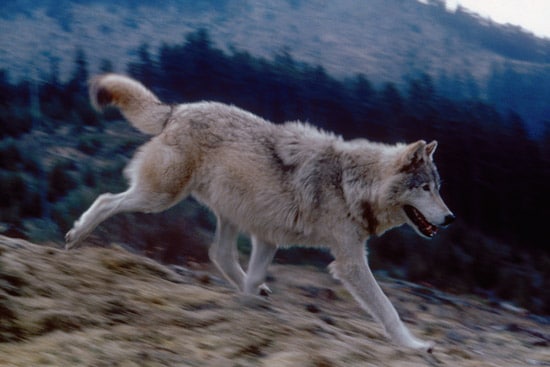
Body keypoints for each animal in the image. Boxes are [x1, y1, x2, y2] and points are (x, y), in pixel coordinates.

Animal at [67, 74, 458, 354]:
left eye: (439, 187)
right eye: (426, 188)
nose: (451, 218)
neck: (351, 183)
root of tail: (176, 110)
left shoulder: (269, 238)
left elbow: (253, 277)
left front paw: (249, 306)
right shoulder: (349, 262)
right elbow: (388, 309)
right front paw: (415, 346)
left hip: (235, 215)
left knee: (220, 254)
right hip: (160, 197)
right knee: (106, 200)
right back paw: (76, 236)